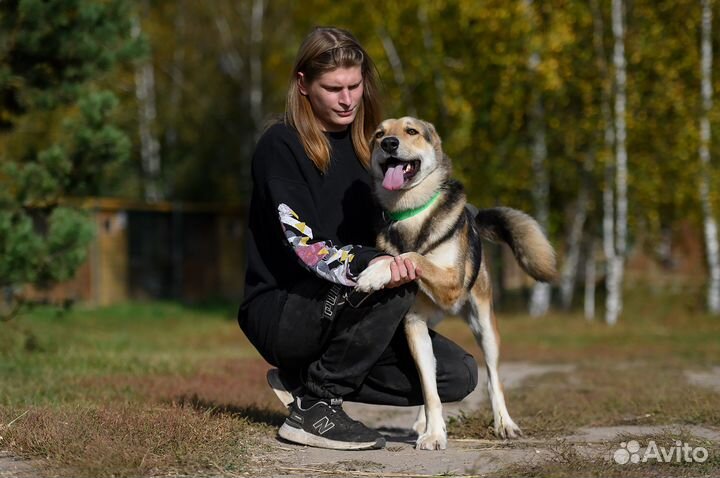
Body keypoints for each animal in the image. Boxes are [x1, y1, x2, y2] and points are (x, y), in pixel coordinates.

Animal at [354, 117, 556, 450]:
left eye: (411, 131)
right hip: (430, 328)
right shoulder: (414, 323)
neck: (409, 212)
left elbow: (415, 257)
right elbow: (429, 390)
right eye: (379, 134)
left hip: (484, 325)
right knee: (431, 380)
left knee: (494, 380)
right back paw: (423, 422)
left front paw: (375, 275)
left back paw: (505, 424)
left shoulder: (449, 282)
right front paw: (434, 432)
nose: (389, 144)